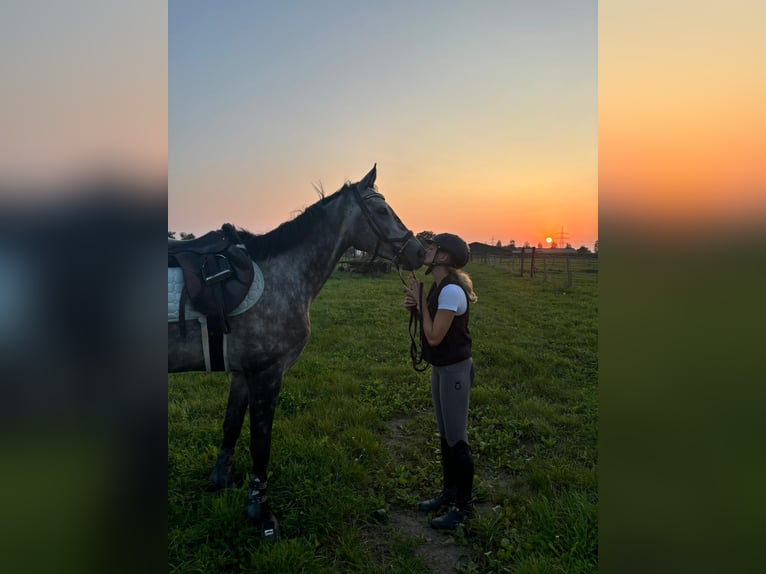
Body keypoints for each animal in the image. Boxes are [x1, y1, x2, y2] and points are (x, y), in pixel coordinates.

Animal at [168, 165, 426, 540]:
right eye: (380, 211)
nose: (420, 252)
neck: (281, 274)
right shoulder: (267, 374)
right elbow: (261, 444)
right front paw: (261, 514)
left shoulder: (243, 374)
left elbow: (231, 426)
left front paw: (222, 482)